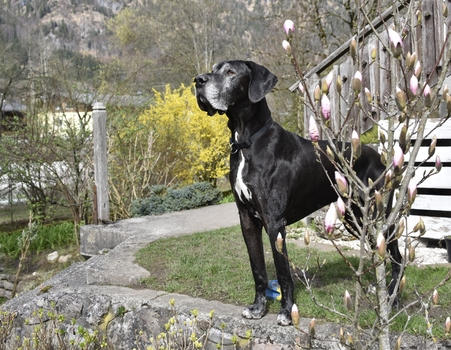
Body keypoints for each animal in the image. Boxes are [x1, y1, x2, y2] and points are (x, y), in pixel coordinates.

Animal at [194, 60, 402, 326]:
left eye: (230, 72)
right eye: (213, 69)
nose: (198, 80)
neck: (246, 142)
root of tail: (382, 159)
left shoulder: (274, 221)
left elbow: (283, 273)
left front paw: (286, 312)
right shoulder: (247, 219)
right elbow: (258, 269)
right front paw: (258, 308)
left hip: (377, 213)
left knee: (397, 255)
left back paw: (393, 298)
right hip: (355, 217)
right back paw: (381, 289)